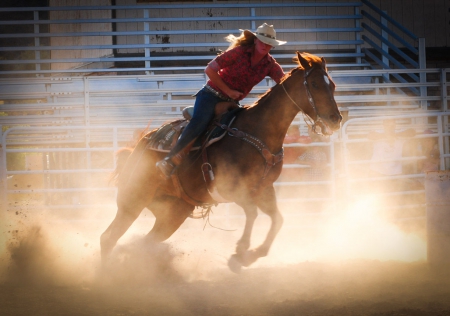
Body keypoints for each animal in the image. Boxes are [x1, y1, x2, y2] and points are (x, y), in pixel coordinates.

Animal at [101, 51, 342, 272]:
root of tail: (141, 145)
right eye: (314, 84)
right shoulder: (231, 188)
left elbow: (277, 219)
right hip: (133, 200)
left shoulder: (263, 189)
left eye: (332, 85)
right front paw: (240, 252)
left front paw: (251, 255)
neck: (258, 131)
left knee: (144, 242)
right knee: (108, 237)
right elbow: (252, 213)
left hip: (173, 213)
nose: (336, 119)